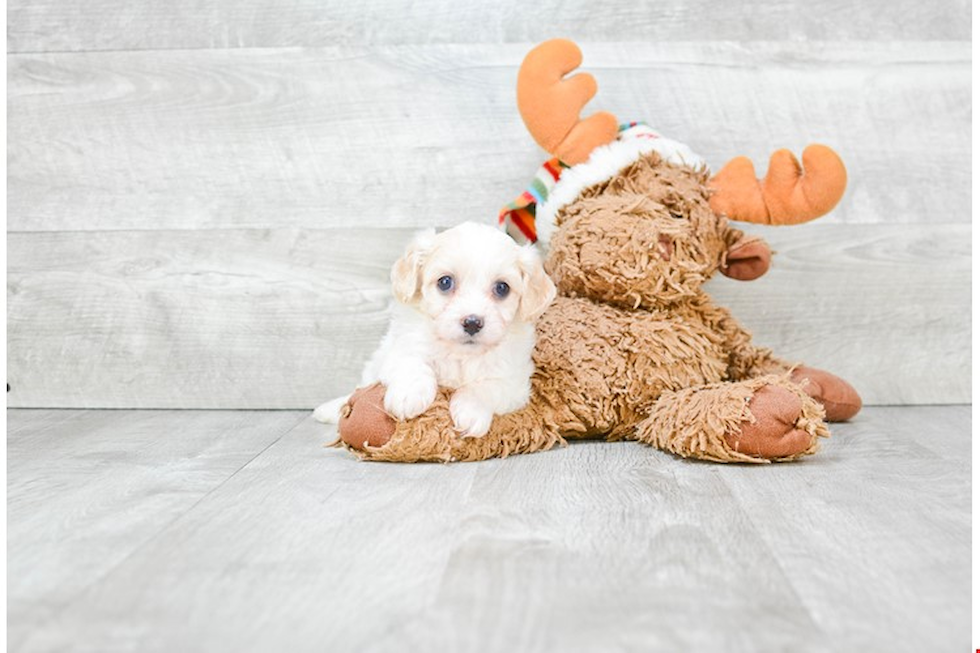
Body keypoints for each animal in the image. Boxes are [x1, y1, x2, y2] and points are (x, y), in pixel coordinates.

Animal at [316, 222, 556, 436]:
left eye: (502, 288)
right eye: (445, 282)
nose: (472, 322)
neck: (461, 354)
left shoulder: (515, 382)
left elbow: (485, 387)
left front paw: (470, 412)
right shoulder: (400, 350)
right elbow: (413, 365)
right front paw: (408, 396)